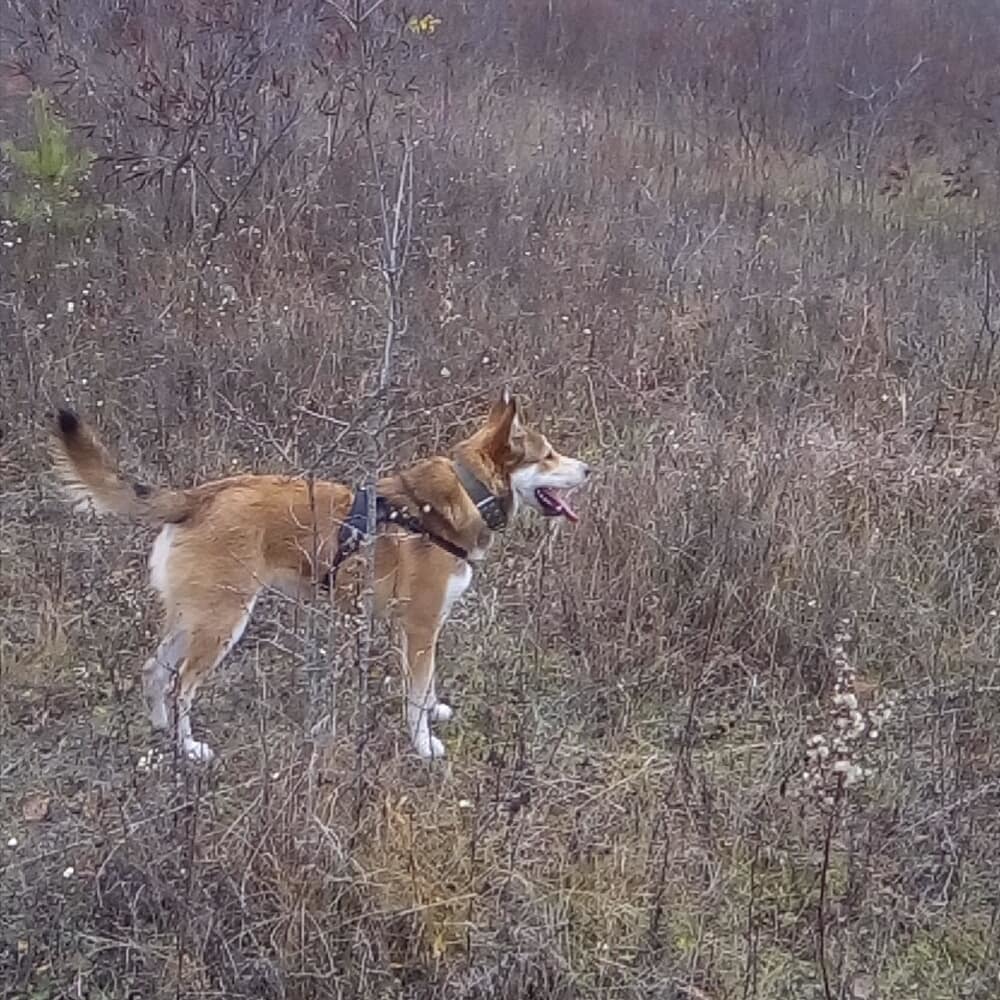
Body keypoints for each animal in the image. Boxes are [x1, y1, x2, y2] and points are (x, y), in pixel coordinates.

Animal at [50, 388, 588, 756]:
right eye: (547, 456)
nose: (588, 470)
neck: (461, 497)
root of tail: (198, 496)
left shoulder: (420, 630)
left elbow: (427, 686)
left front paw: (436, 710)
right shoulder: (419, 626)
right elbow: (415, 697)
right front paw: (424, 746)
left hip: (193, 617)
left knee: (154, 671)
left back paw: (163, 731)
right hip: (224, 622)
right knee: (181, 686)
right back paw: (190, 749)